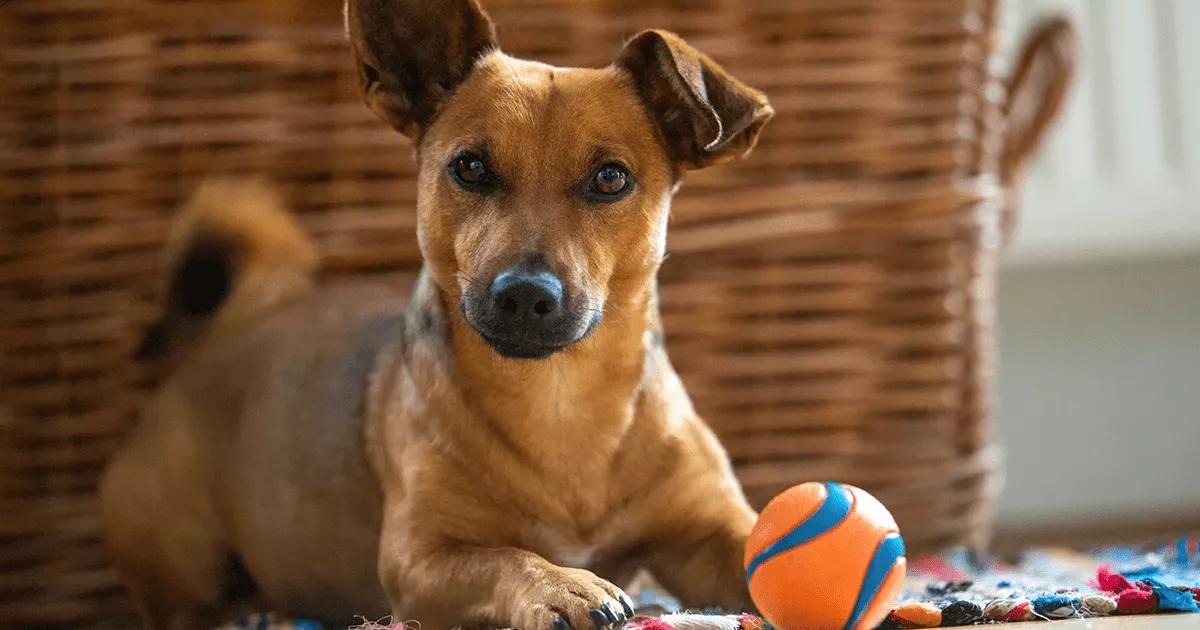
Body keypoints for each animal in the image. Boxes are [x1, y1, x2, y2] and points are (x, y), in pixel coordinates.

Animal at [98, 1, 772, 628]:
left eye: (610, 178)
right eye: (470, 167)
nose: (524, 293)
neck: (561, 403)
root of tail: (230, 331)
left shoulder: (711, 533)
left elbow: (756, 542)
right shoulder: (419, 563)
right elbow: (504, 557)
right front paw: (562, 584)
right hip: (180, 548)